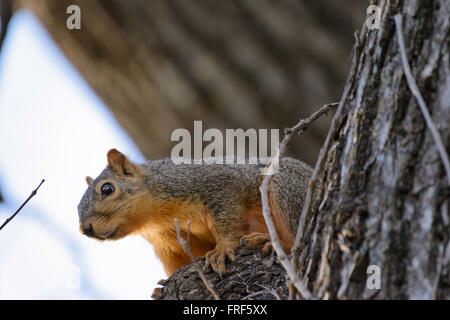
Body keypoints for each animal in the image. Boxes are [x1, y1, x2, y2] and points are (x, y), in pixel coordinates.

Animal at [77, 149, 312, 276]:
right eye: (78, 208)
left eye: (107, 189)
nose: (86, 229)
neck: (156, 219)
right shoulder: (169, 244)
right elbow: (175, 264)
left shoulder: (219, 184)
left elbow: (227, 221)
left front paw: (222, 250)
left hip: (285, 187)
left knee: (297, 236)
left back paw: (271, 241)